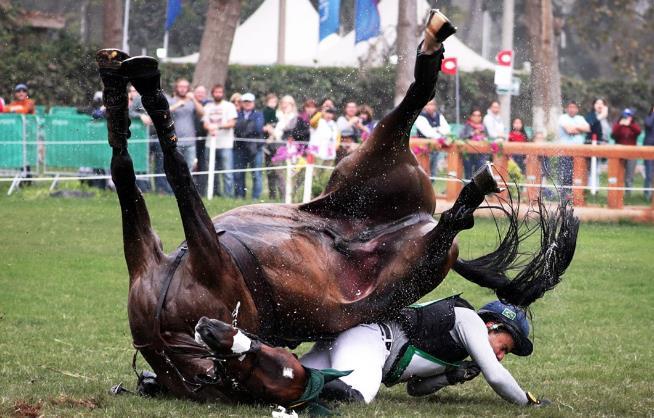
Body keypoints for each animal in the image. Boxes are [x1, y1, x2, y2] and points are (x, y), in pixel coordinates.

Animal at [97, 11, 578, 407]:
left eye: (274, 367)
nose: (214, 334)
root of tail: (414, 222)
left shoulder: (213, 265)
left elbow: (168, 174)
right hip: (383, 189)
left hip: (397, 222)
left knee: (137, 169)